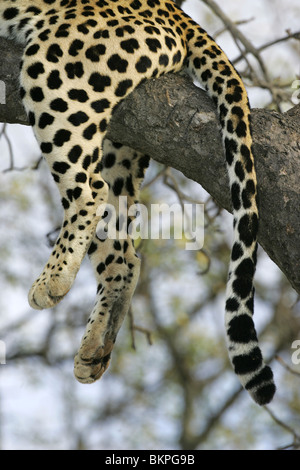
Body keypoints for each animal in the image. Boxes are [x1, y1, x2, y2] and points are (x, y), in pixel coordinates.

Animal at [0, 0, 276, 404]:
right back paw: (97, 343)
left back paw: (53, 279)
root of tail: (174, 10)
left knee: (90, 191)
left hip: (58, 69)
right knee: (123, 250)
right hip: (119, 139)